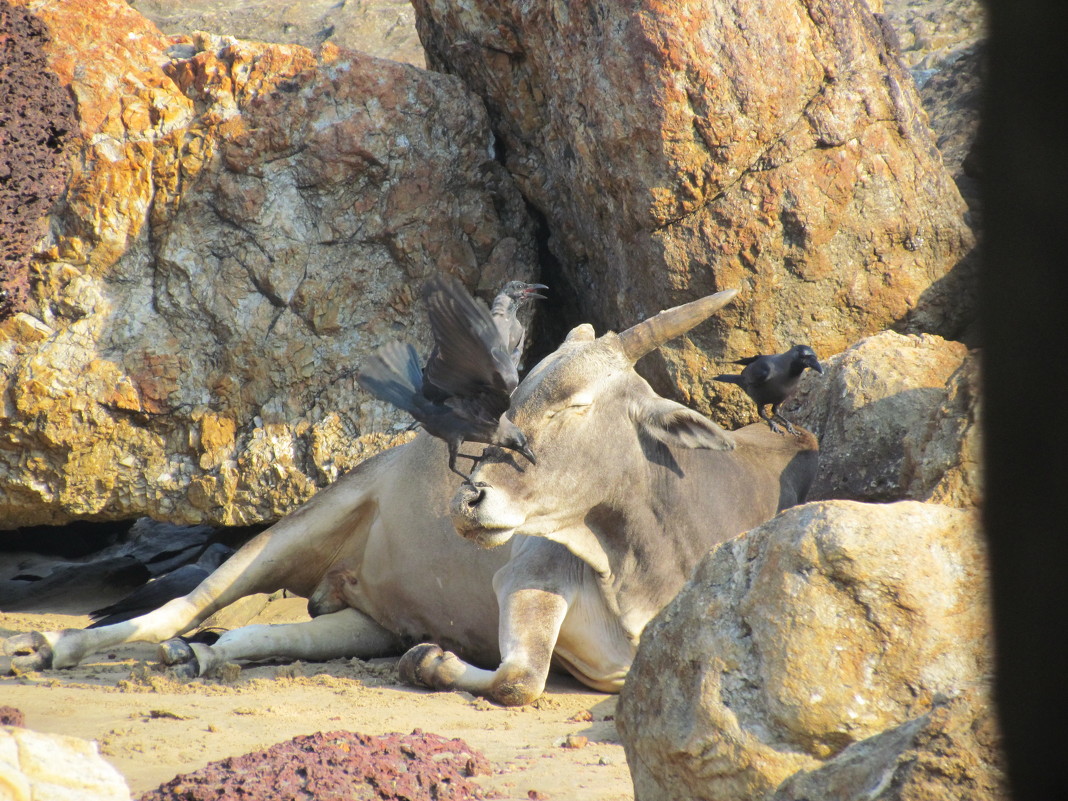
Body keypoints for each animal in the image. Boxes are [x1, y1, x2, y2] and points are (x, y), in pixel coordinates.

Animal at [2, 292, 815, 704]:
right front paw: (432, 665)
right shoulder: (524, 577)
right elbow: (518, 681)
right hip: (299, 525)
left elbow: (521, 679)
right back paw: (55, 645)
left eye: (577, 403)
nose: (472, 500)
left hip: (364, 619)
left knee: (251, 633)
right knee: (180, 605)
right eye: (515, 396)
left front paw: (430, 659)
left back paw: (203, 657)